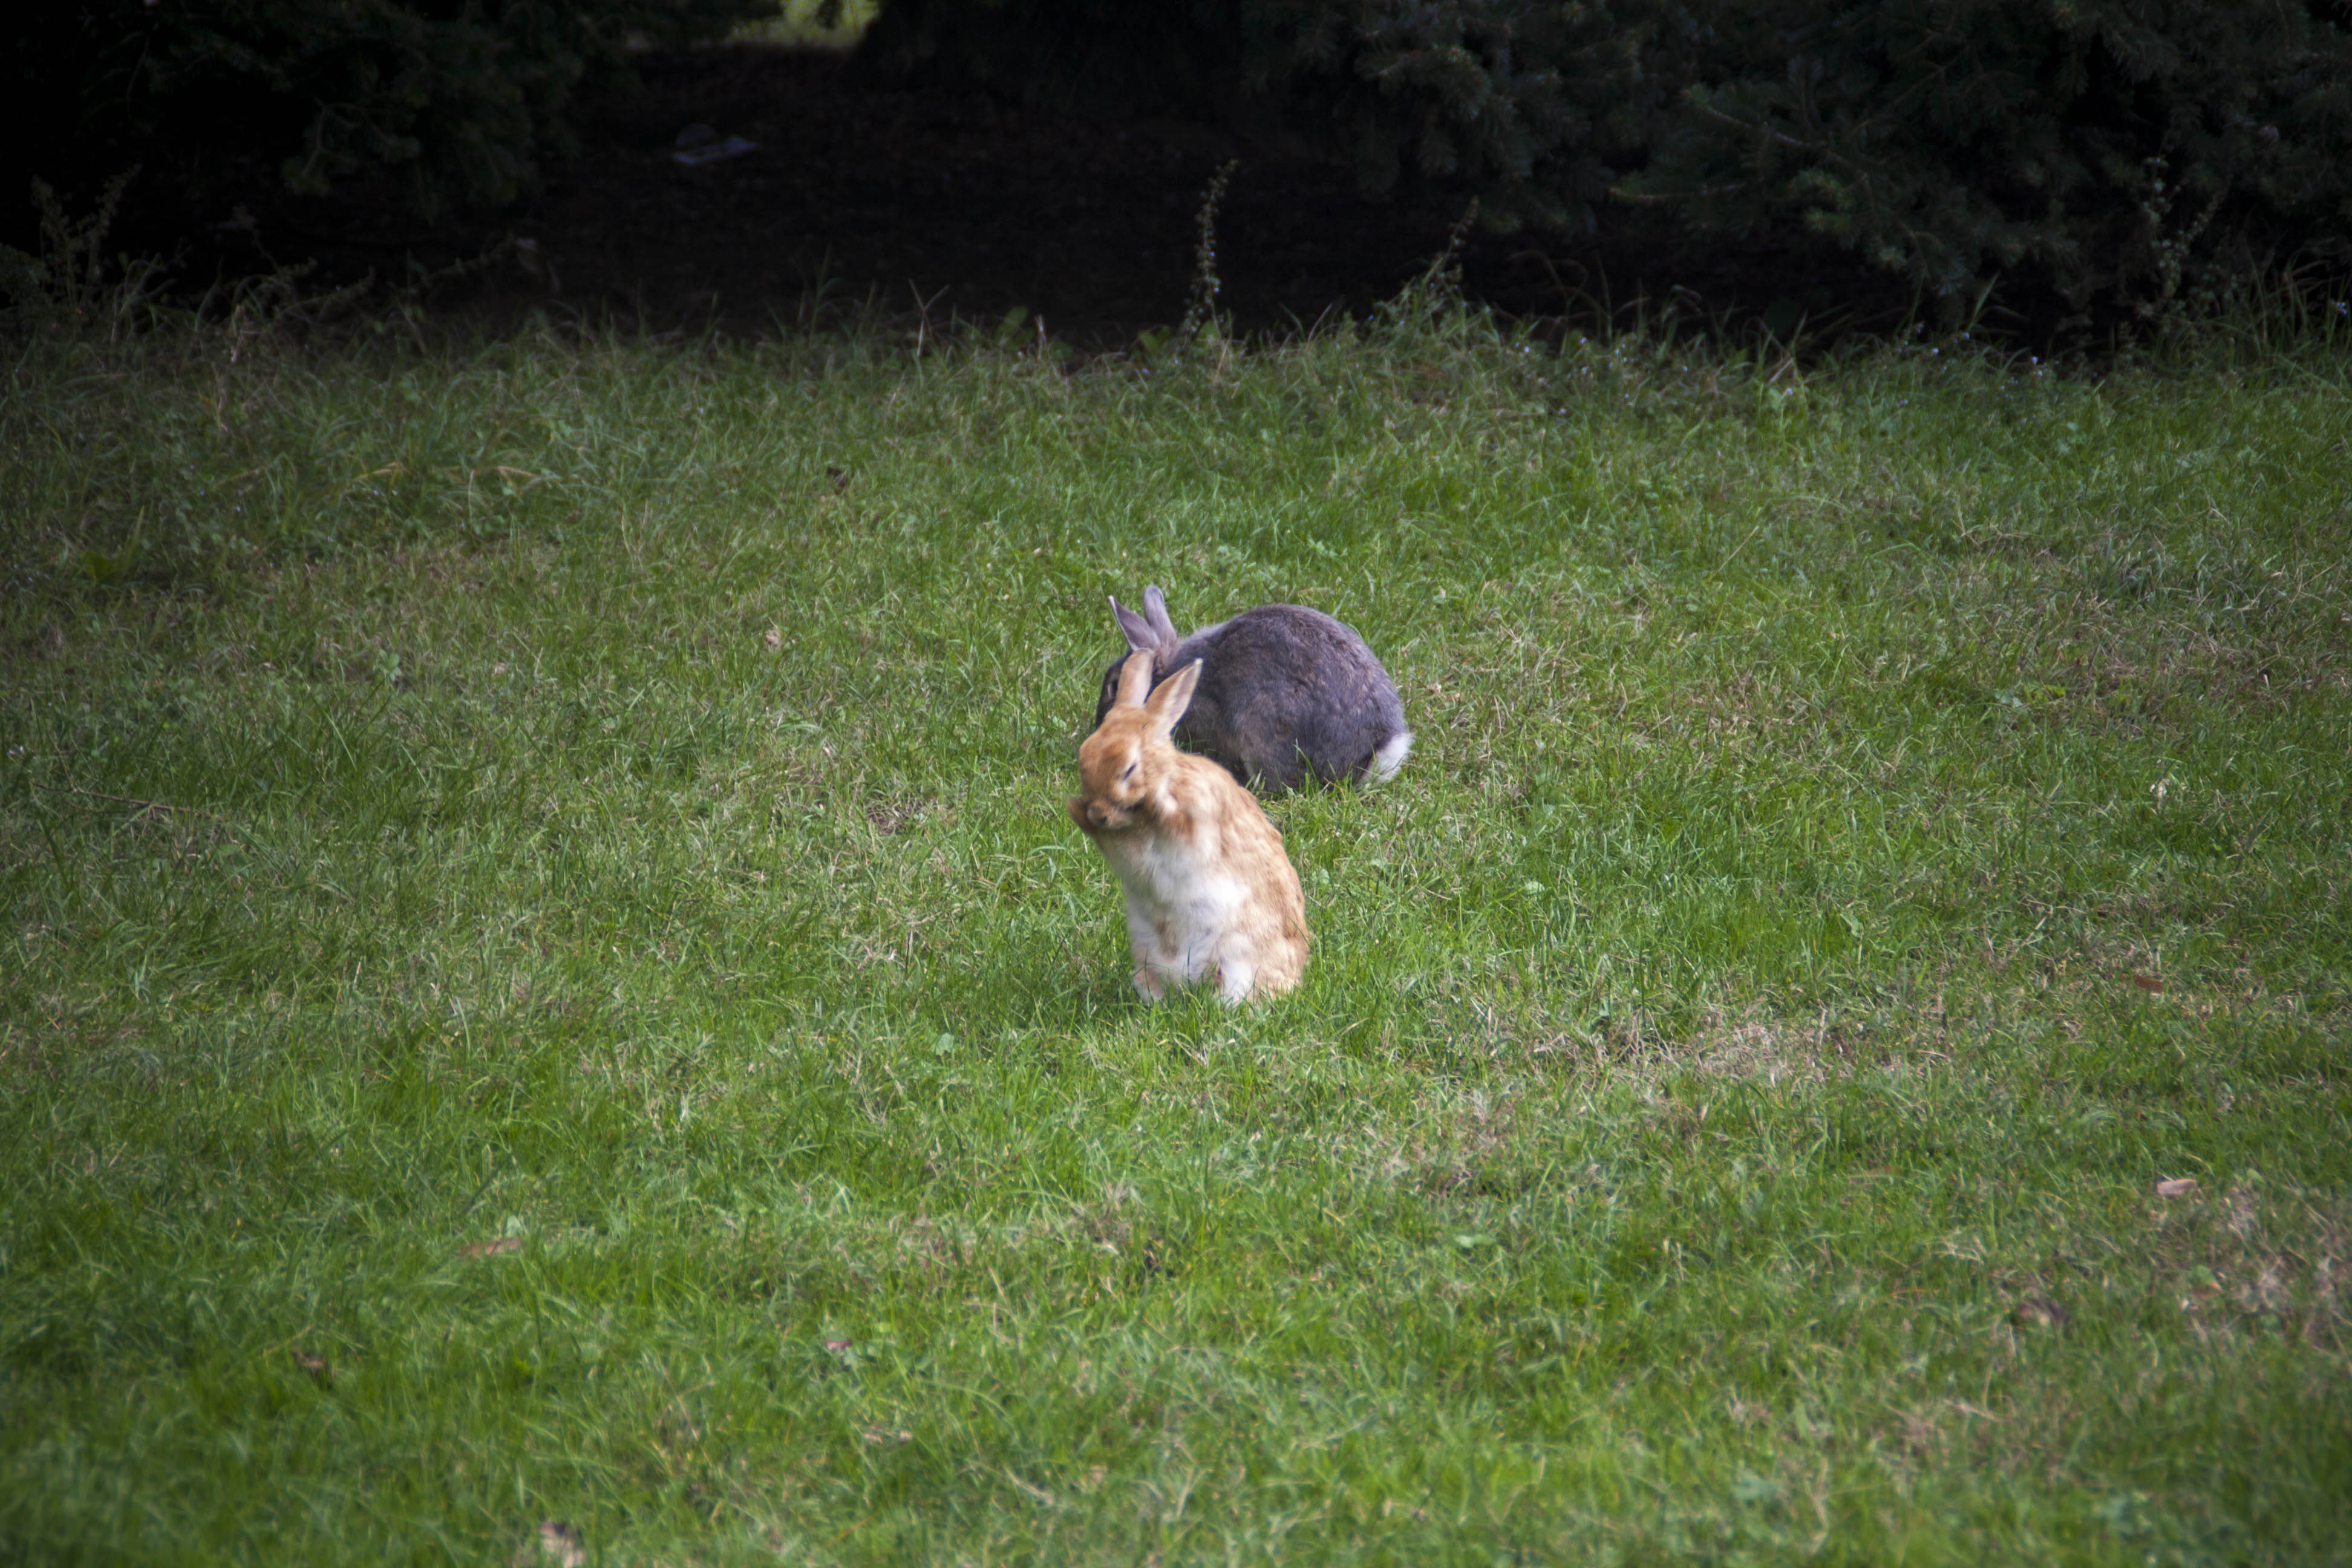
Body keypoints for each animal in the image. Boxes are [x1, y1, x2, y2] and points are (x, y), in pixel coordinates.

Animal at [1077, 653, 1317, 1001]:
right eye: (1084, 759)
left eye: (1130, 769)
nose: (1099, 814)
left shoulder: (1194, 832)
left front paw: (1158, 802)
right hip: (1146, 957)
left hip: (1237, 963)